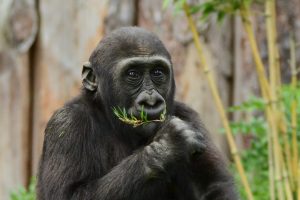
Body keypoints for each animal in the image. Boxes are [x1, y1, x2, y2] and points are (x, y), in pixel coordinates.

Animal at [36, 27, 238, 200]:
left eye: (157, 72)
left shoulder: (189, 116)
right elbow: (69, 193)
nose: (151, 101)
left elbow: (213, 189)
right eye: (133, 74)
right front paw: (168, 147)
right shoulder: (67, 124)